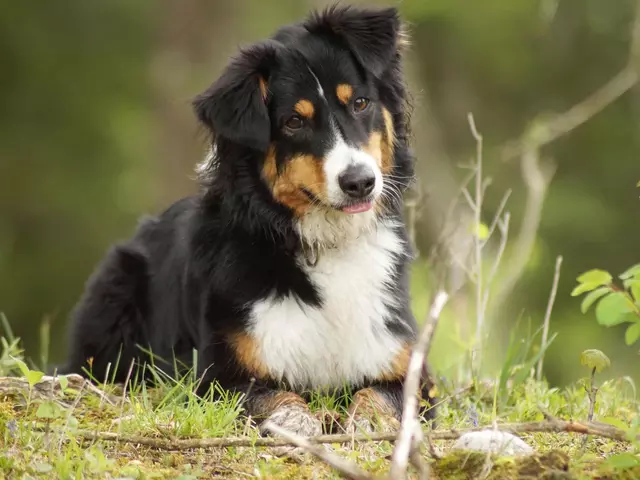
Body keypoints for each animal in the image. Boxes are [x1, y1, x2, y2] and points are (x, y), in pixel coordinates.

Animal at [60, 5, 438, 436]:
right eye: (294, 122)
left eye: (360, 103)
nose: (359, 182)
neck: (325, 242)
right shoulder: (220, 378)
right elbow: (277, 397)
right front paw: (299, 423)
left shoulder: (409, 370)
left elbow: (377, 396)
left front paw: (366, 424)